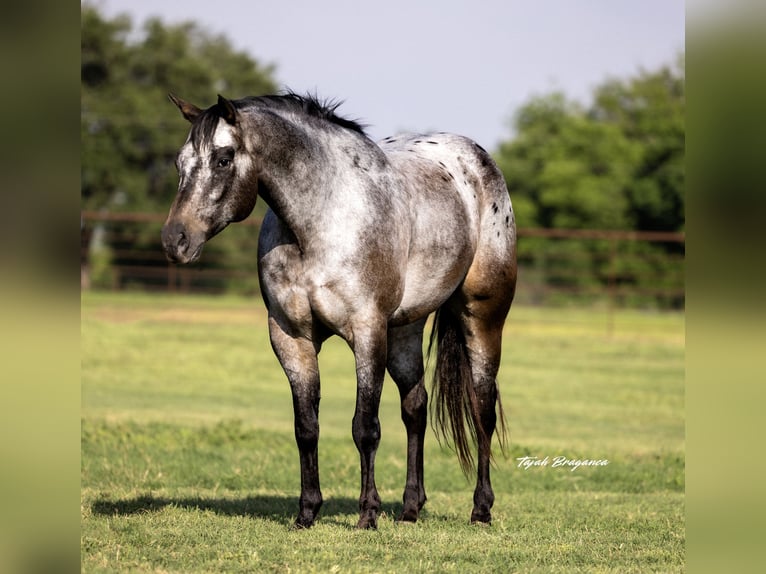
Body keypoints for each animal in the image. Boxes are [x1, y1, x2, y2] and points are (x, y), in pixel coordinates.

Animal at [161, 92, 517, 529]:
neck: (320, 222)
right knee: (415, 408)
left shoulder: (366, 331)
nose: (175, 240)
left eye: (224, 159)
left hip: (482, 319)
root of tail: (478, 158)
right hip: (404, 329)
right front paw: (307, 512)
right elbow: (306, 426)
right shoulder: (290, 336)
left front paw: (367, 514)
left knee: (482, 407)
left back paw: (481, 509)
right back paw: (411, 508)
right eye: (180, 162)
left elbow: (365, 427)